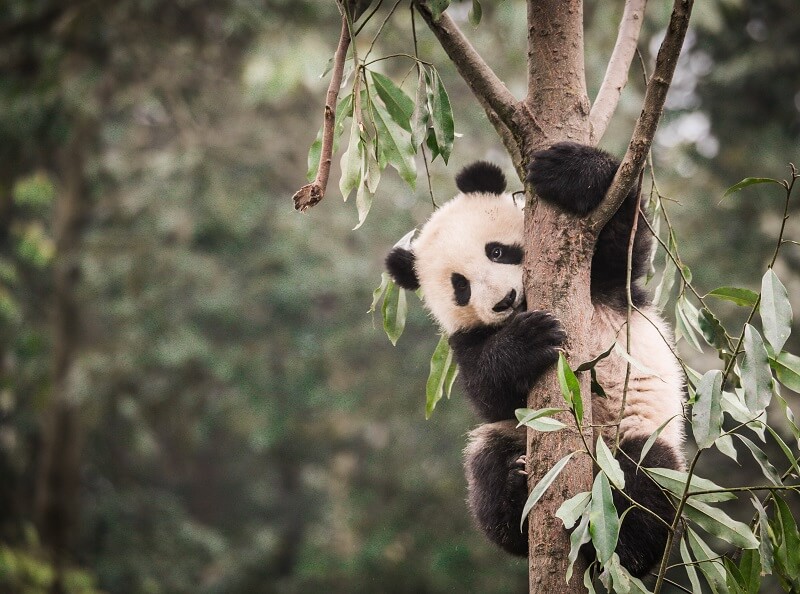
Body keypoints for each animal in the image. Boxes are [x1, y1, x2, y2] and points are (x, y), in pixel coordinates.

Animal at [385, 142, 685, 578]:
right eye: (461, 287)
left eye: (496, 251)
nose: (503, 301)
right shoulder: (466, 340)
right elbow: (489, 393)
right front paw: (528, 341)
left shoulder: (603, 282)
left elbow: (624, 241)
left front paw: (570, 171)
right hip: (509, 438)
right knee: (488, 474)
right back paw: (517, 490)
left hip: (637, 438)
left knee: (645, 481)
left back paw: (617, 543)